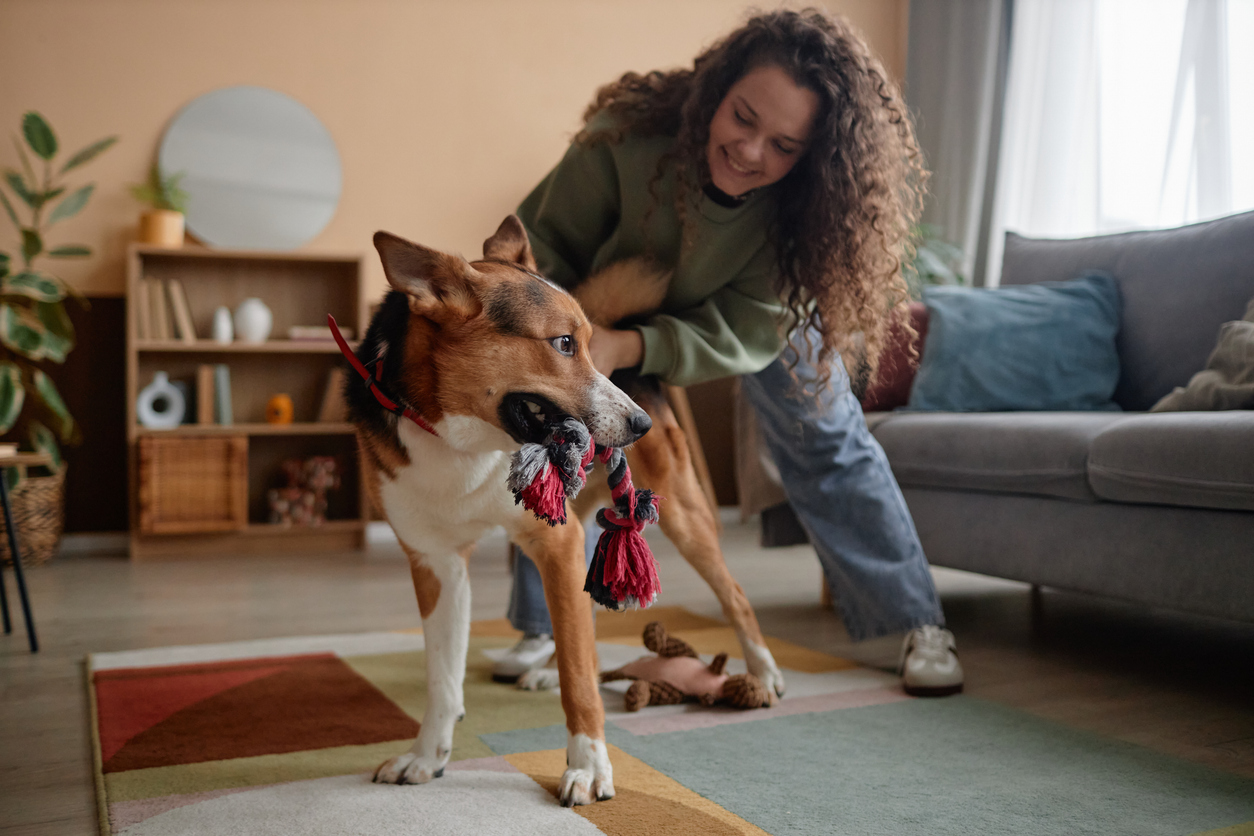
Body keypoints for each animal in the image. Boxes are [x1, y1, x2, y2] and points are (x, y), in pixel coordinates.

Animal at [351, 219, 782, 807]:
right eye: (563, 344)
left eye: (586, 346)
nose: (640, 424)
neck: (464, 442)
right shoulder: (436, 563)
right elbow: (443, 678)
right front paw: (427, 756)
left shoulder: (552, 542)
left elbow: (580, 677)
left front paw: (589, 766)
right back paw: (543, 670)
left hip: (681, 517)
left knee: (733, 595)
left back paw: (764, 670)